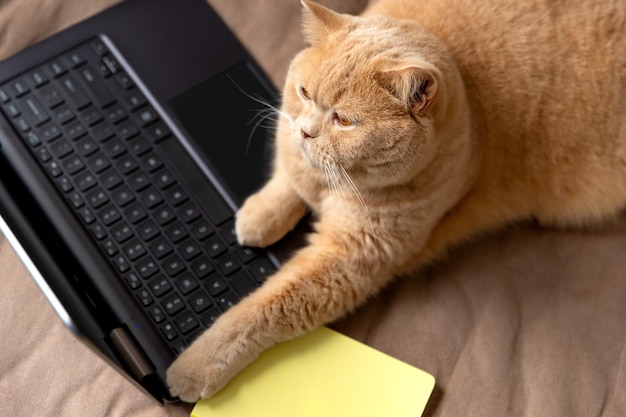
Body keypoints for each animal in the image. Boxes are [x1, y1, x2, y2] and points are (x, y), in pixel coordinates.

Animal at [166, 0, 624, 402]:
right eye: (305, 92)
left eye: (344, 120)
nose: (308, 131)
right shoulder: (294, 148)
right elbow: (289, 174)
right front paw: (261, 215)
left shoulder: (349, 259)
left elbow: (263, 309)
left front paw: (196, 365)